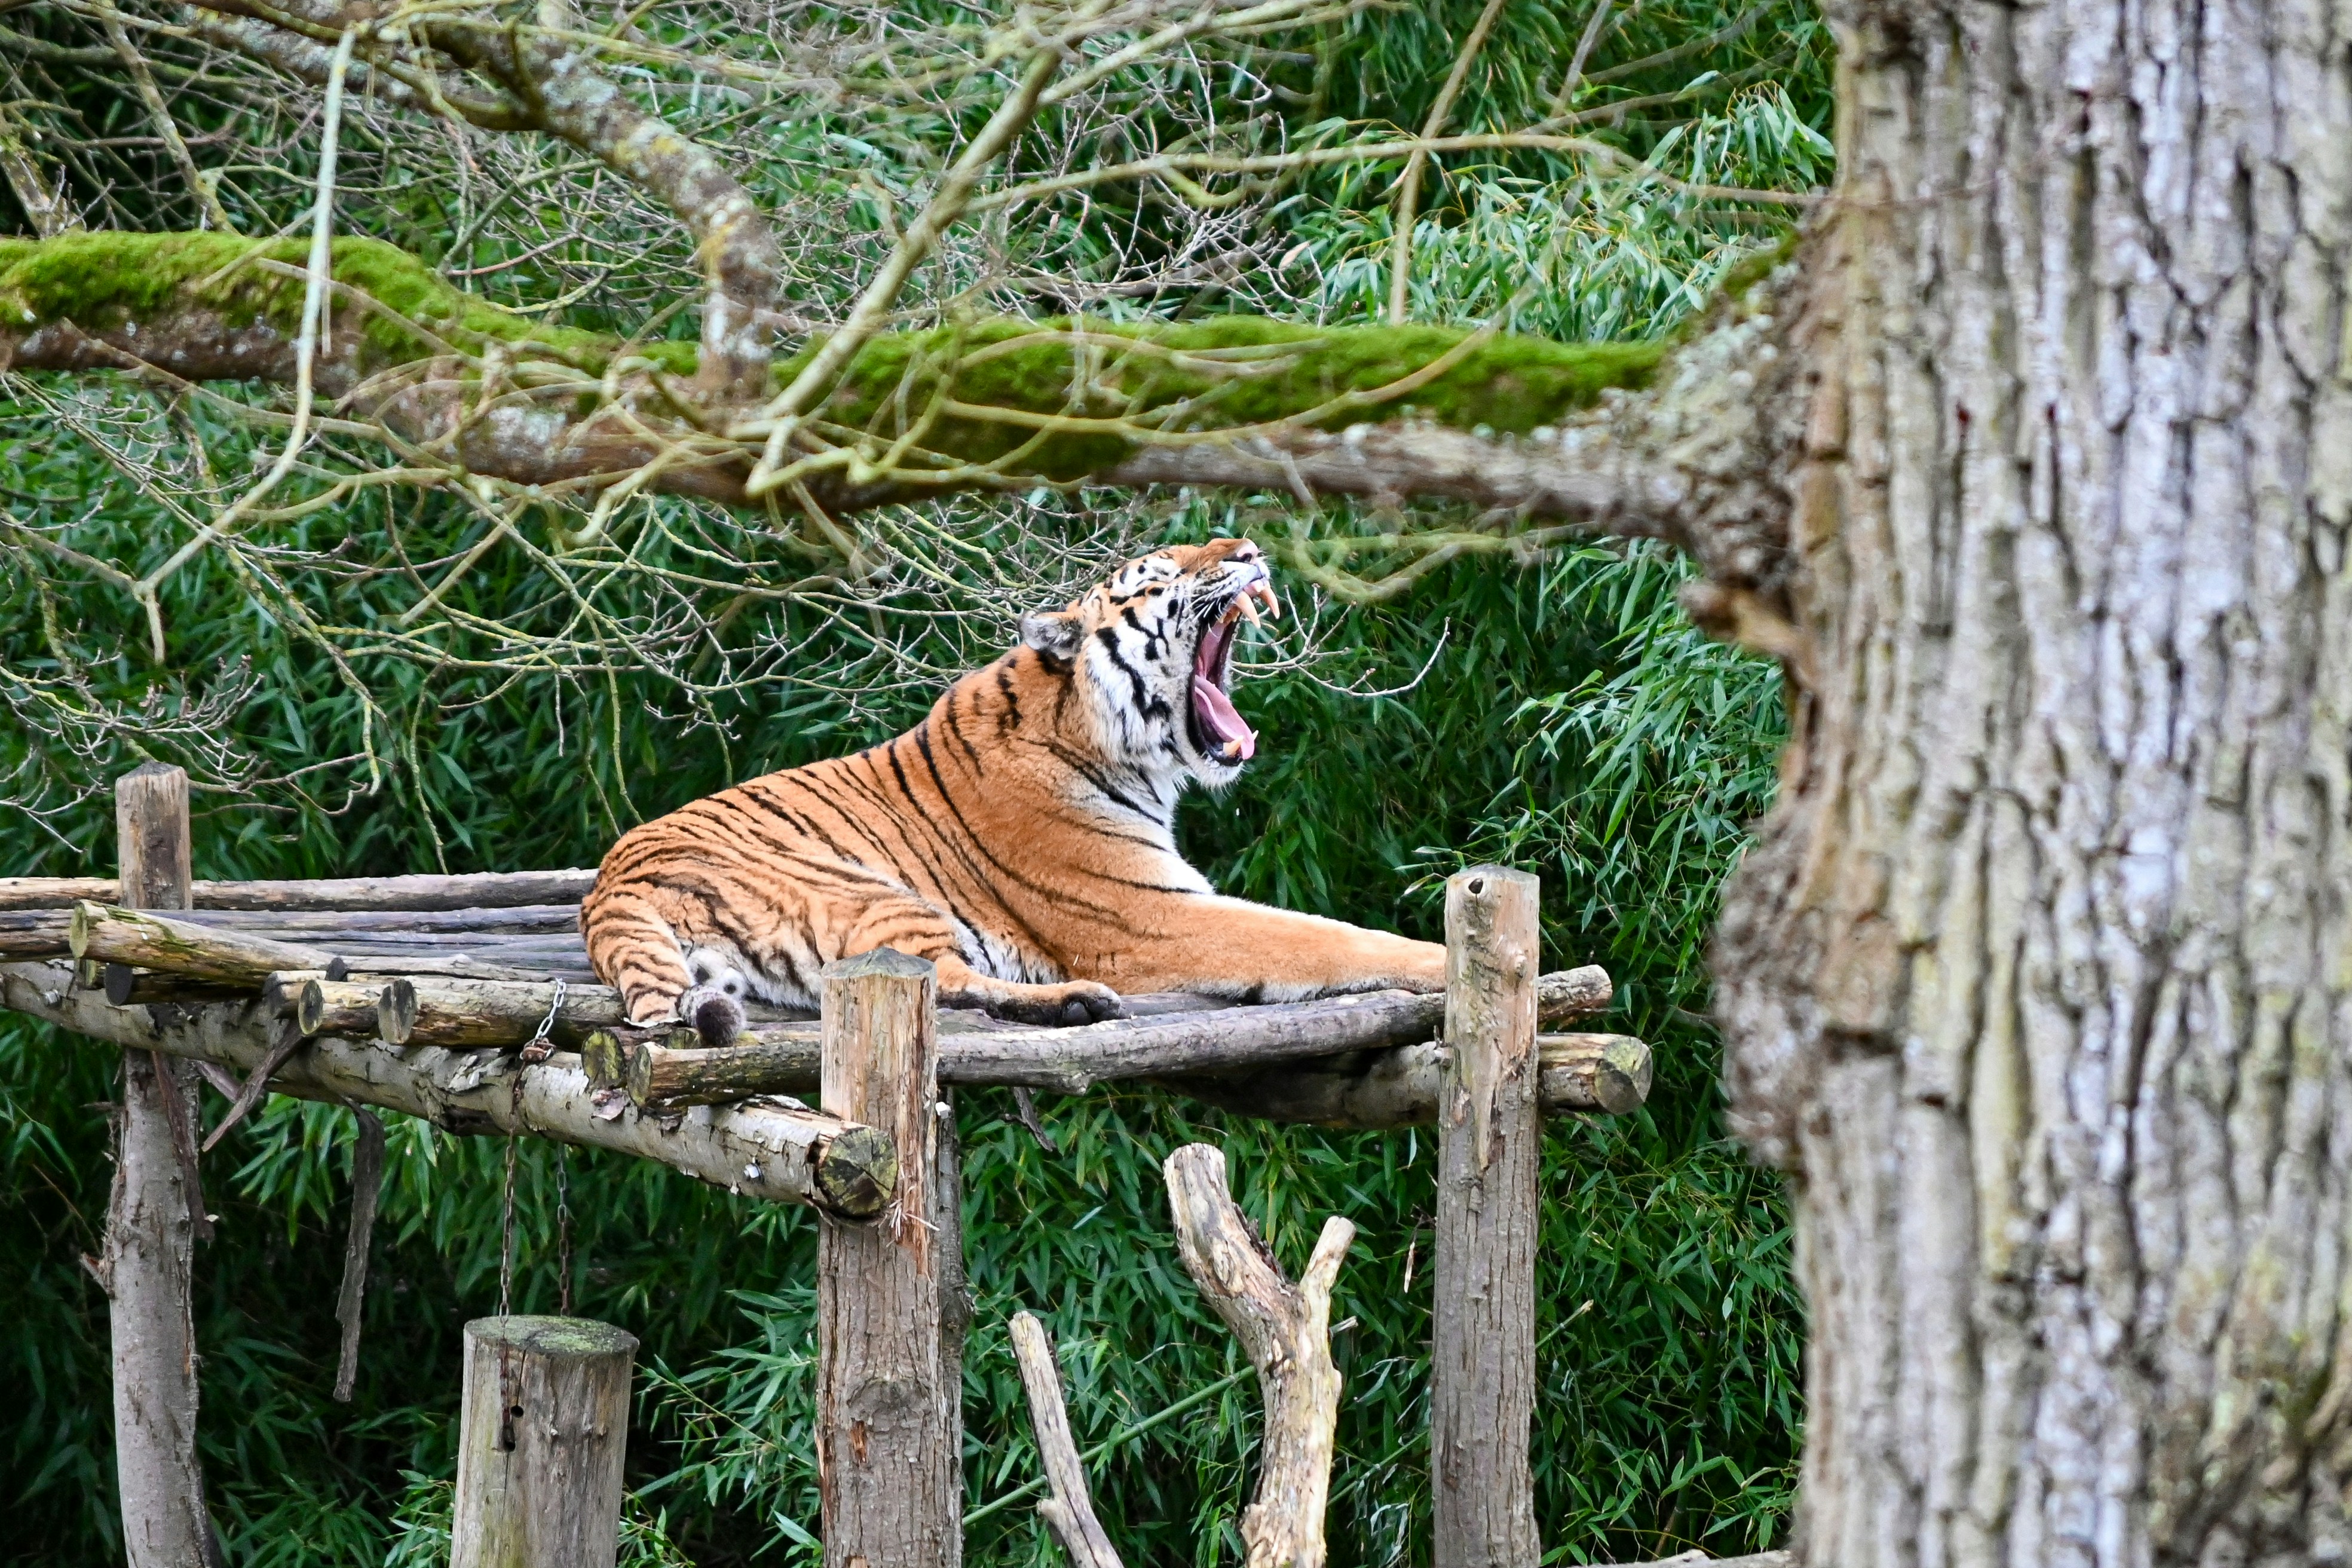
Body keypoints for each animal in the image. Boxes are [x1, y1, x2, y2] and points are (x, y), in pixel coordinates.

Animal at [580, 536, 1447, 1044]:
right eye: (1164, 573)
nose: (1250, 548)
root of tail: (608, 891)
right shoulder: (1152, 915)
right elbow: (1326, 937)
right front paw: (1439, 960)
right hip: (875, 893)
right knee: (938, 984)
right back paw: (1079, 1003)